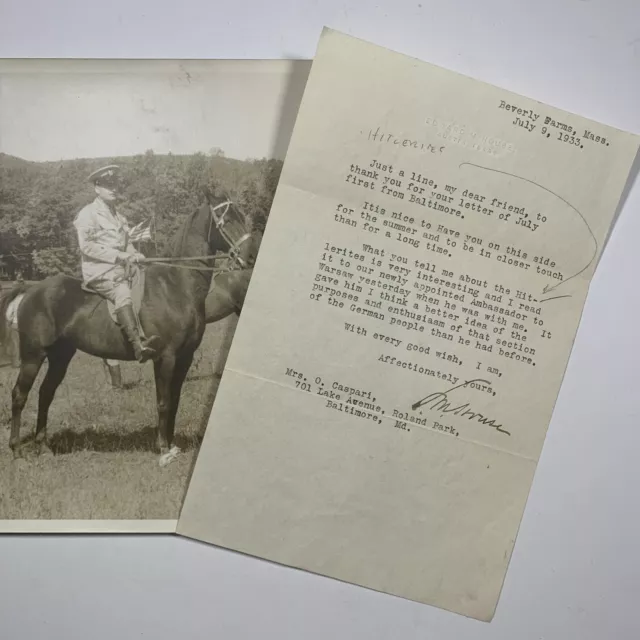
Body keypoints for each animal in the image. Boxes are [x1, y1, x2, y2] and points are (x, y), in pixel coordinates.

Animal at [0, 195, 262, 464]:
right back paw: (16, 449)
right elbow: (163, 401)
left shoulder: (184, 357)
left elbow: (175, 400)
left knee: (46, 393)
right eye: (226, 220)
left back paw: (43, 446)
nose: (252, 256)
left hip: (60, 356)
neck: (175, 285)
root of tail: (31, 290)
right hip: (33, 356)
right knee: (19, 395)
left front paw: (172, 444)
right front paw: (163, 448)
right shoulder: (166, 357)